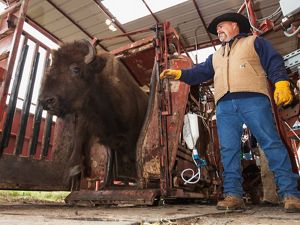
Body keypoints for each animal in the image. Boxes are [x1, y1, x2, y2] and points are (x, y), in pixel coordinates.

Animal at [38, 40, 149, 186]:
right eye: (50, 69)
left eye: (76, 68)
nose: (45, 101)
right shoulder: (86, 122)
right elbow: (78, 139)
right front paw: (73, 170)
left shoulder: (131, 133)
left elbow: (133, 153)